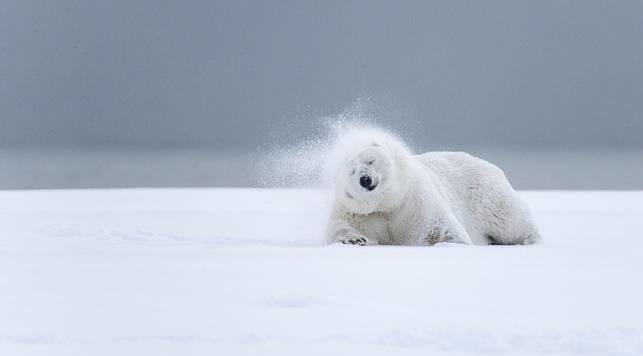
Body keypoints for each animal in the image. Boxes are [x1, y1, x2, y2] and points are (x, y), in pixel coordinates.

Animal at [324, 129, 540, 246]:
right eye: (352, 172)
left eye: (370, 161)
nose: (365, 179)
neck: (388, 203)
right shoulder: (359, 213)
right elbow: (340, 226)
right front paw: (355, 239)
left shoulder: (414, 198)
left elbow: (438, 227)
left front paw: (450, 242)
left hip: (488, 196)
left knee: (511, 221)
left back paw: (528, 239)